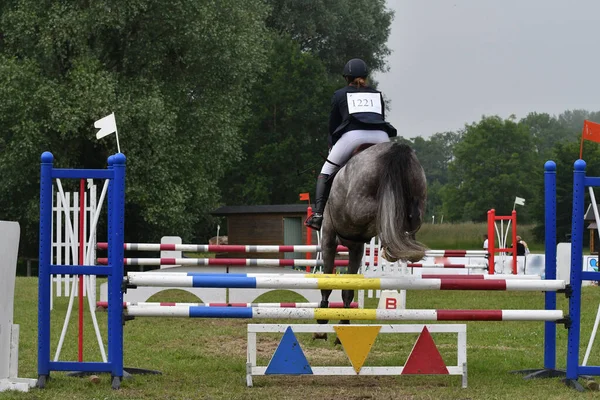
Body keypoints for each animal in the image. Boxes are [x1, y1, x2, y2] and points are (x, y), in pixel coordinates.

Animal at [316, 142, 428, 340]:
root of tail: (396, 148)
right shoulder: (356, 247)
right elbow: (348, 288)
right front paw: (343, 322)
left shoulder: (329, 238)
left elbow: (328, 282)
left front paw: (322, 323)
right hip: (418, 190)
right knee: (412, 216)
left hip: (360, 203)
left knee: (383, 211)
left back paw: (391, 245)